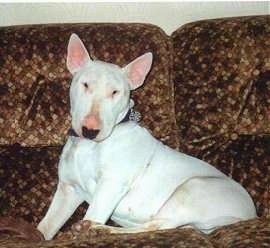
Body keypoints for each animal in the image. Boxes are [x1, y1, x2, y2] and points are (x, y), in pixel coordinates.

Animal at [37, 34, 256, 239]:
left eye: (115, 92)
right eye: (85, 85)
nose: (90, 130)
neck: (88, 146)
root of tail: (250, 215)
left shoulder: (111, 184)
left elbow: (94, 211)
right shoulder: (68, 191)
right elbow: (45, 227)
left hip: (192, 189)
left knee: (157, 226)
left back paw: (98, 229)